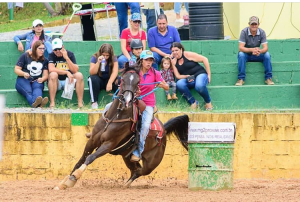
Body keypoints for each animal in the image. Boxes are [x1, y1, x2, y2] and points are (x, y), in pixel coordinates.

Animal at [54, 64, 188, 189]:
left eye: (138, 82)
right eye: (123, 79)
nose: (126, 100)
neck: (114, 117)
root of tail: (163, 129)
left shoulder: (109, 144)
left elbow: (90, 158)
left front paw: (73, 178)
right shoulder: (92, 141)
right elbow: (81, 159)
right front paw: (62, 183)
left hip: (152, 162)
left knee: (140, 172)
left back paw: (126, 184)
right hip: (127, 157)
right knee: (135, 169)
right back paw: (126, 184)